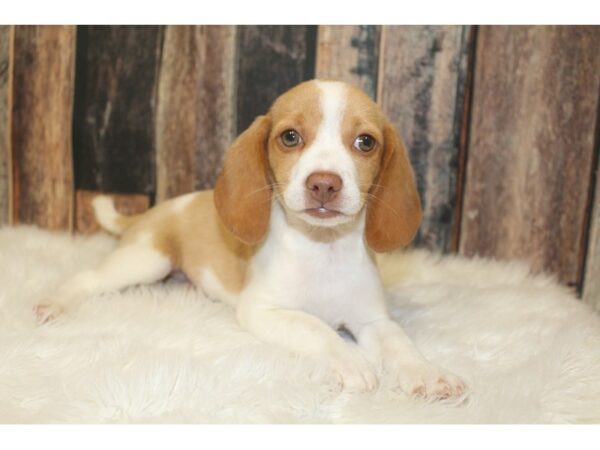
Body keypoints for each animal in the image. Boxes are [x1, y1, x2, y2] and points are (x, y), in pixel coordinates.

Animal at [36, 79, 468, 400]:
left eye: (365, 142)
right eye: (290, 137)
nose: (324, 184)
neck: (322, 250)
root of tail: (153, 210)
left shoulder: (373, 319)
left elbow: (400, 344)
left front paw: (427, 373)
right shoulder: (264, 311)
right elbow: (319, 328)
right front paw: (351, 362)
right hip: (146, 260)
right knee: (87, 280)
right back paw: (55, 303)